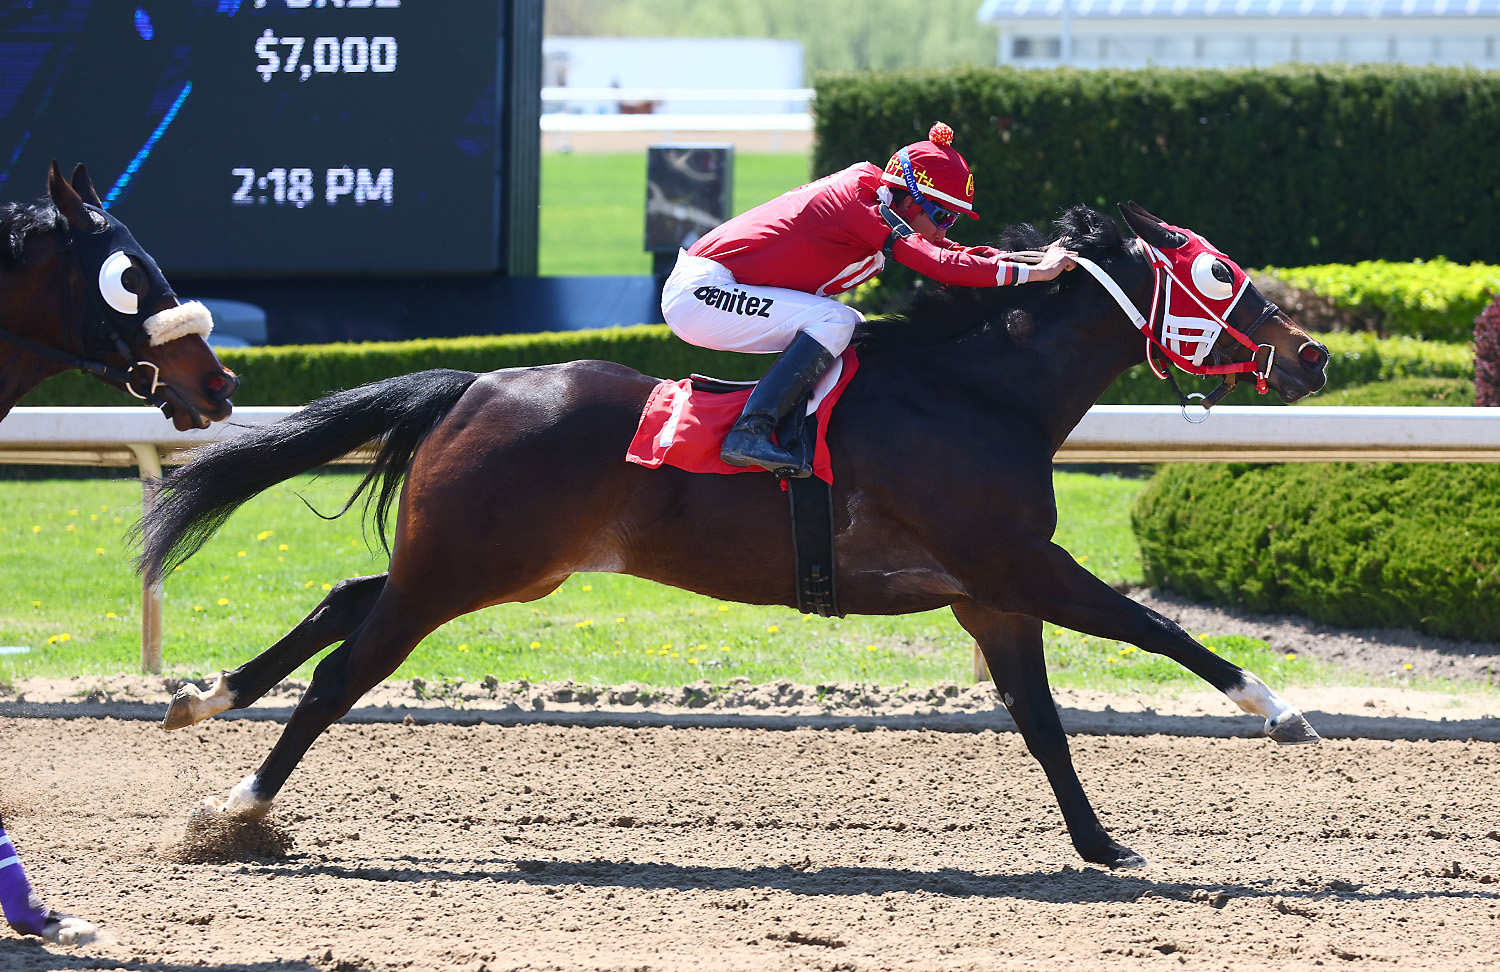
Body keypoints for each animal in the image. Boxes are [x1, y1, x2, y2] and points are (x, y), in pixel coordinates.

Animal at [140, 202, 1330, 871]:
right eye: (1220, 274)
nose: (1315, 356)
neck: (979, 394)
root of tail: (473, 380)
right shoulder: (1018, 563)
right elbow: (1158, 630)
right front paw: (1278, 711)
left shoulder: (989, 595)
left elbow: (1044, 727)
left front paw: (1101, 844)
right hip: (468, 567)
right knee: (345, 670)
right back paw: (237, 808)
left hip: (493, 565)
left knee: (345, 597)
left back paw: (206, 696)